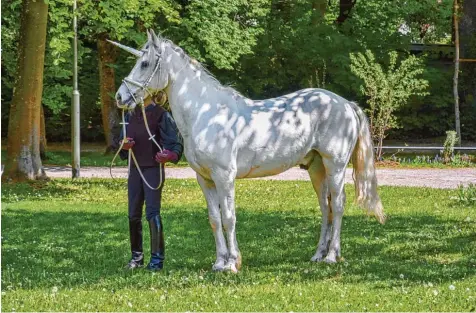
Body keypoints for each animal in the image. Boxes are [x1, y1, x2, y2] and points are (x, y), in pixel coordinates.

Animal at [109, 29, 384, 272]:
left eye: (145, 63)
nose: (120, 97)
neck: (205, 114)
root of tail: (345, 104)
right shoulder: (205, 179)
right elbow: (214, 219)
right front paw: (219, 262)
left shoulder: (224, 177)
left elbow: (229, 218)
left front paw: (232, 263)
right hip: (316, 168)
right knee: (326, 208)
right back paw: (318, 255)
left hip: (335, 165)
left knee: (337, 205)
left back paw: (332, 257)